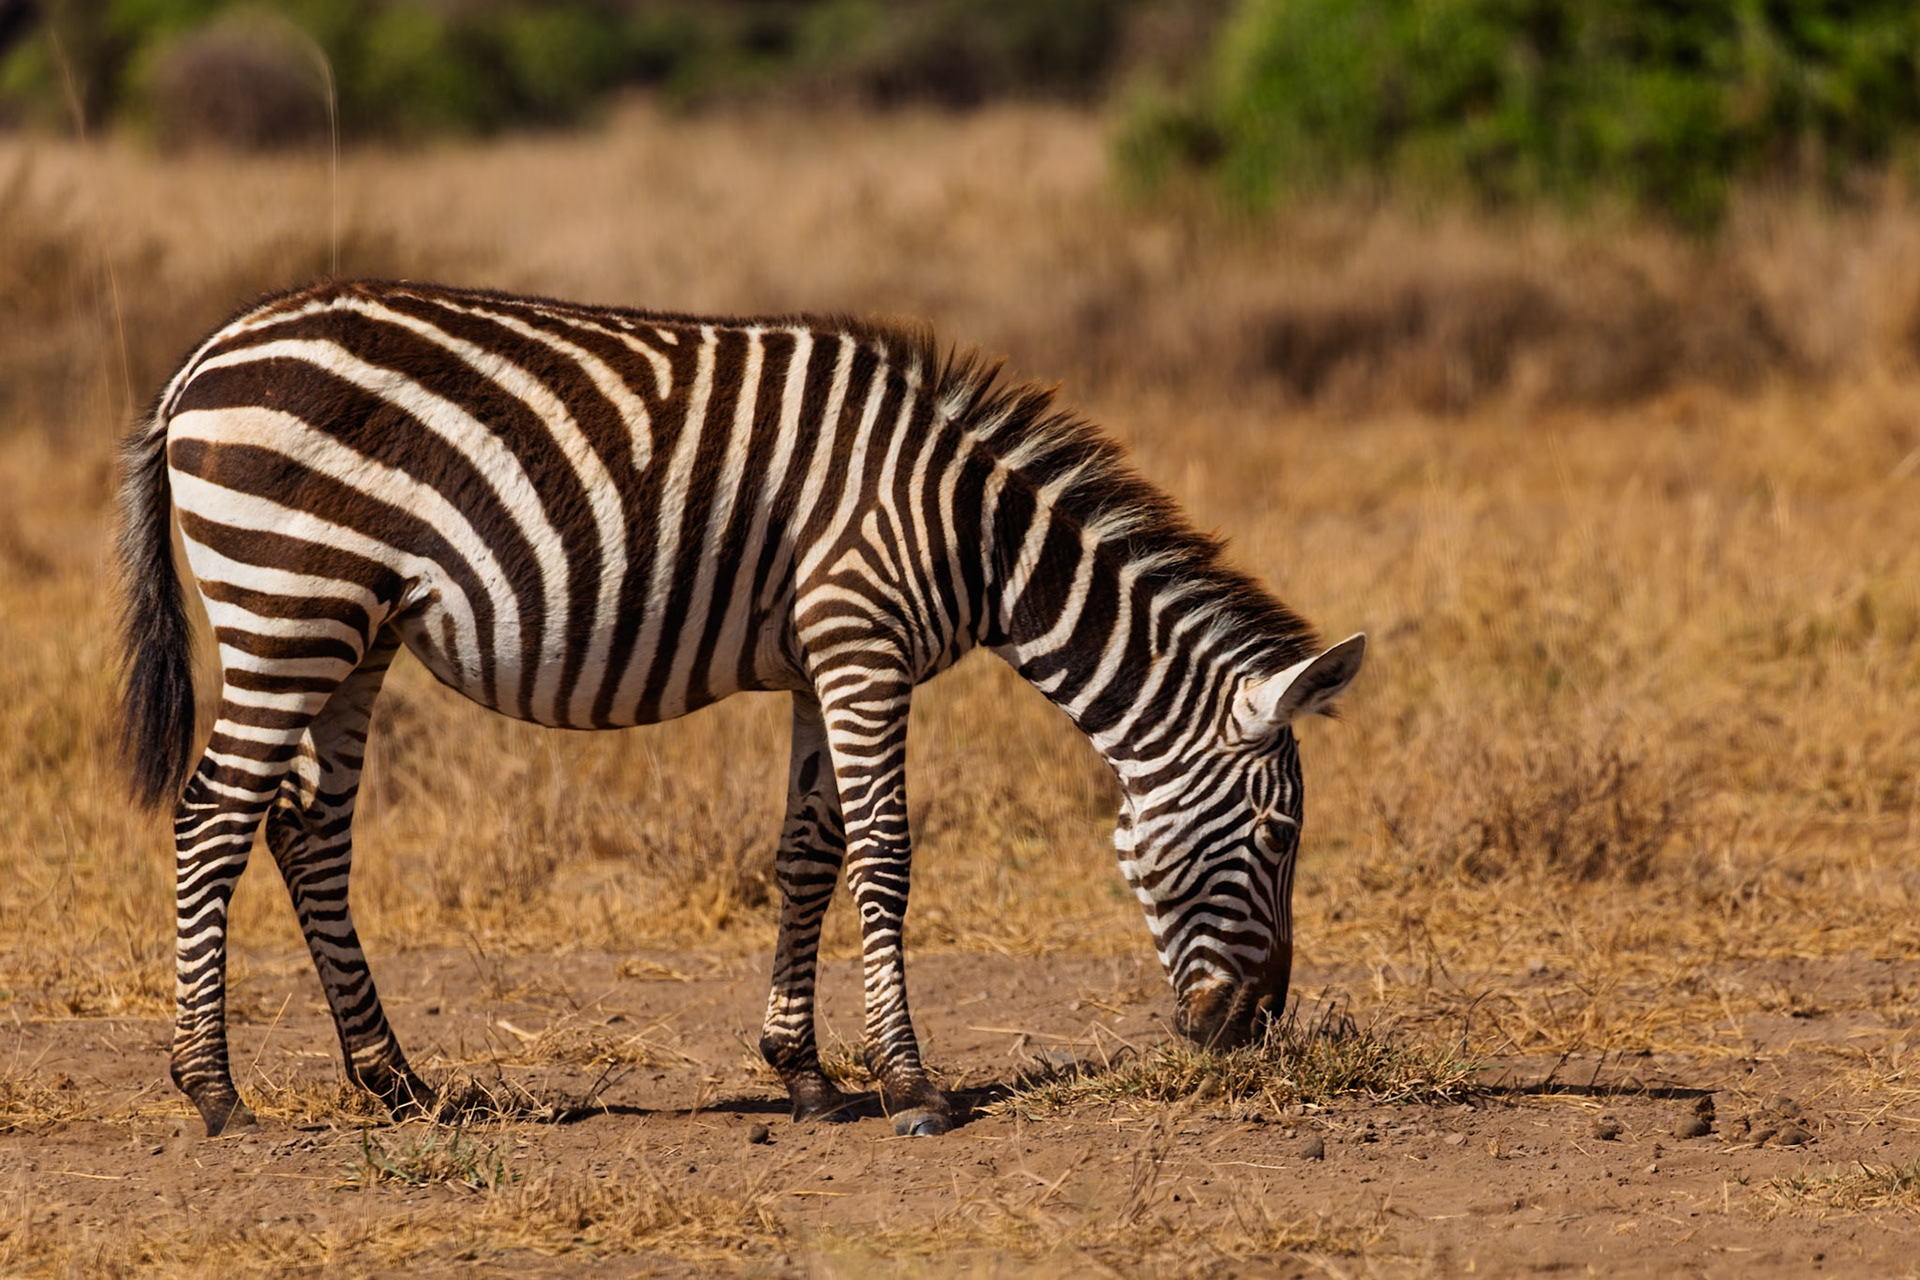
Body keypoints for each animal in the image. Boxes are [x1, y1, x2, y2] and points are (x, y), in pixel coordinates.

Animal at [118, 280, 1366, 1138]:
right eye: (1278, 834)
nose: (1255, 1027)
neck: (973, 531)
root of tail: (200, 361)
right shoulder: (862, 639)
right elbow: (886, 853)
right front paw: (910, 1081)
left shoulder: (824, 660)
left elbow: (809, 851)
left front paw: (804, 1072)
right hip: (290, 597)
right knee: (214, 817)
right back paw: (213, 1088)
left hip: (353, 626)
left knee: (306, 828)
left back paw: (393, 1077)